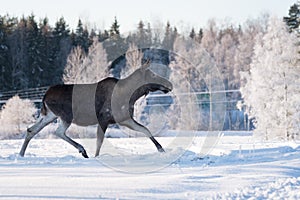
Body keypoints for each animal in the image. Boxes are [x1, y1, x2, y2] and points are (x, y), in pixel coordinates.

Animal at [19, 61, 172, 158]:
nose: (169, 84)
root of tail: (45, 96)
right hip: (66, 116)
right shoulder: (103, 118)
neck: (131, 95)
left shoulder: (125, 119)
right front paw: (96, 157)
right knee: (58, 132)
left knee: (31, 130)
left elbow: (145, 129)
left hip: (49, 115)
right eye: (153, 75)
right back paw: (82, 150)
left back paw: (21, 154)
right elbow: (100, 141)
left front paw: (161, 149)